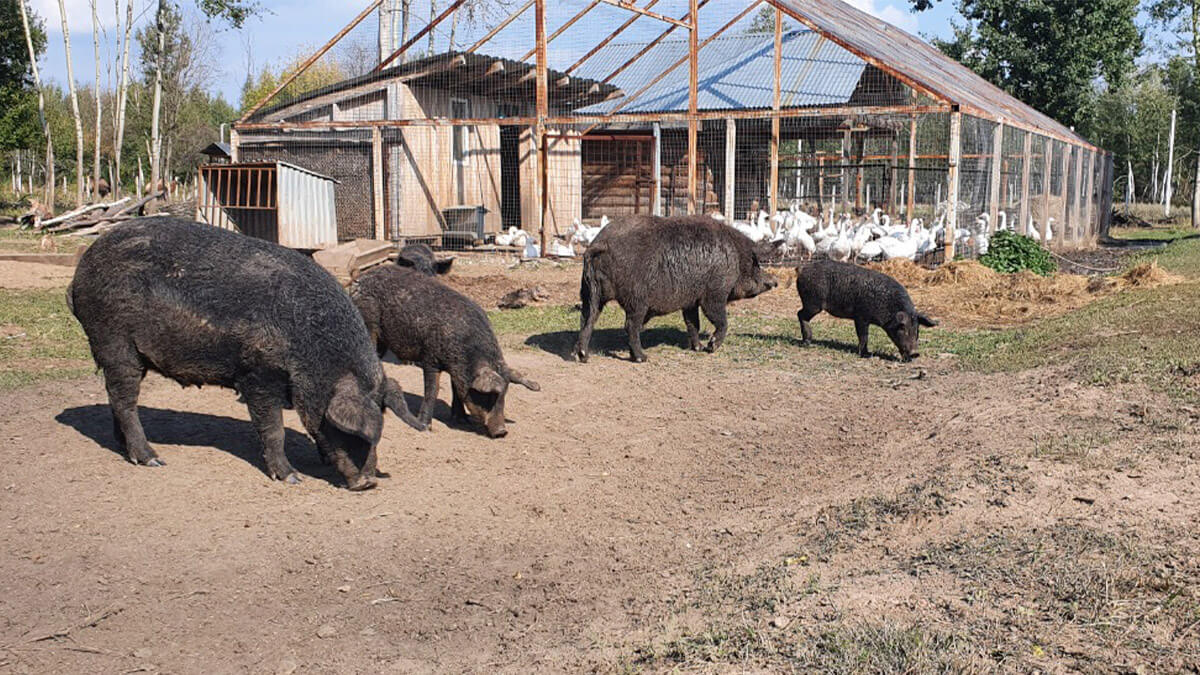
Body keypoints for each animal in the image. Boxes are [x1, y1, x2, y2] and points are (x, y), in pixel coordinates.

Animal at [69, 218, 427, 485]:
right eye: (353, 432)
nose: (368, 482)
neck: (311, 348)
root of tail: (79, 274)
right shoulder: (258, 374)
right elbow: (273, 427)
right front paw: (291, 477)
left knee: (117, 398)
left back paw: (124, 448)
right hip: (114, 341)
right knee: (123, 399)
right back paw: (153, 459)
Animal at [573, 214, 782, 362]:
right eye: (756, 264)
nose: (775, 281)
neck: (736, 256)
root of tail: (601, 242)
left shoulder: (690, 301)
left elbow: (693, 323)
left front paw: (698, 348)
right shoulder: (713, 294)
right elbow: (720, 320)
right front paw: (710, 348)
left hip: (590, 292)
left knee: (587, 319)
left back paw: (582, 356)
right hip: (636, 299)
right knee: (630, 325)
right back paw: (642, 358)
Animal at [796, 258, 936, 362]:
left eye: (917, 329)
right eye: (902, 327)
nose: (915, 353)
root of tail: (803, 269)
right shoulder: (861, 316)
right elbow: (863, 336)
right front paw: (866, 355)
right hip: (813, 303)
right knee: (800, 314)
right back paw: (807, 343)